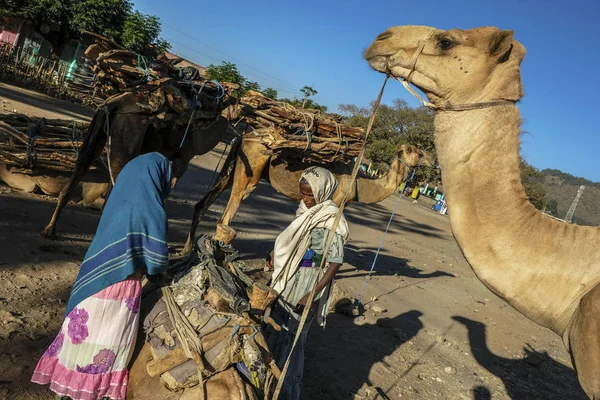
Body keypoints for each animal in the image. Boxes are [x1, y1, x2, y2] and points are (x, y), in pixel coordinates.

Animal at [41, 89, 234, 236]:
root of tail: (112, 104)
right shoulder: (182, 161)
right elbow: (168, 187)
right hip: (125, 141)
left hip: (96, 133)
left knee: (81, 167)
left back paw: (50, 230)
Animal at [180, 132, 434, 256]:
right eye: (418, 152)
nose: (433, 160)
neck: (358, 184)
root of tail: (244, 136)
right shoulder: (335, 203)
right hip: (251, 168)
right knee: (228, 213)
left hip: (232, 166)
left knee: (203, 202)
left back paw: (185, 250)